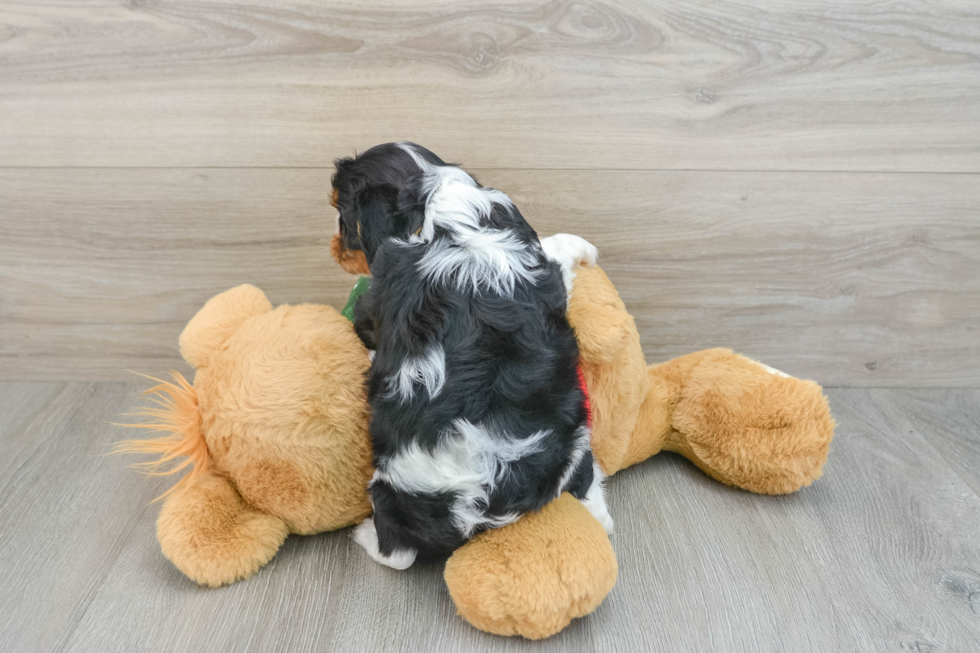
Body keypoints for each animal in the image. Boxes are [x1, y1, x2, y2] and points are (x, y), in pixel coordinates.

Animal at [330, 141, 612, 564]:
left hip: (388, 491)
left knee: (396, 553)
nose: (334, 249)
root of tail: (479, 503)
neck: (433, 198)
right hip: (574, 436)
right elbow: (555, 256)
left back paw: (364, 534)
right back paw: (600, 513)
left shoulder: (375, 300)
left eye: (342, 216)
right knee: (586, 480)